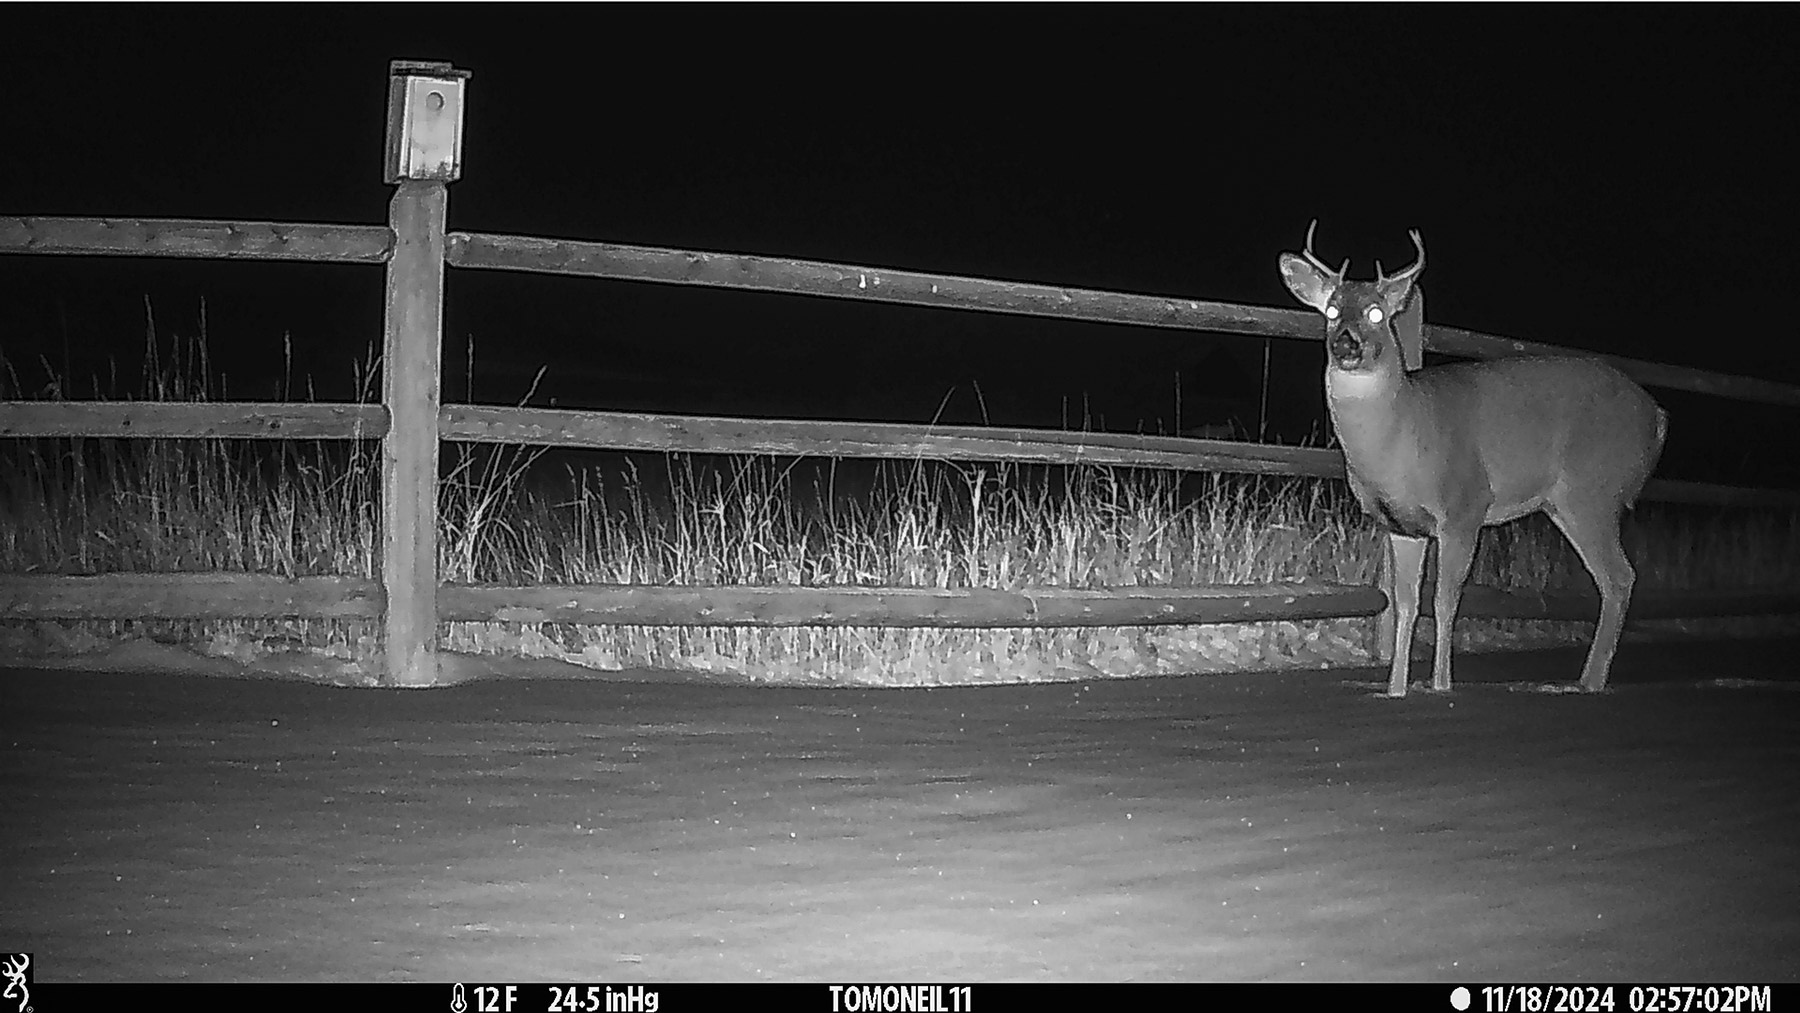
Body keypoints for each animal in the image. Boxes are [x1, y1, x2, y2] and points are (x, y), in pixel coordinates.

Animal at [1278, 223, 1667, 697]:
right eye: (1332, 311)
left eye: (1376, 313)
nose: (1345, 344)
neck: (1404, 435)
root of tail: (1658, 417)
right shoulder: (1400, 525)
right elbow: (1405, 604)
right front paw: (1395, 688)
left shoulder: (1465, 507)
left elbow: (1446, 600)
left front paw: (1441, 683)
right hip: (1567, 503)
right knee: (1614, 578)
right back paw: (1587, 678)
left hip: (1593, 489)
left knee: (1620, 576)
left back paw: (1590, 681)